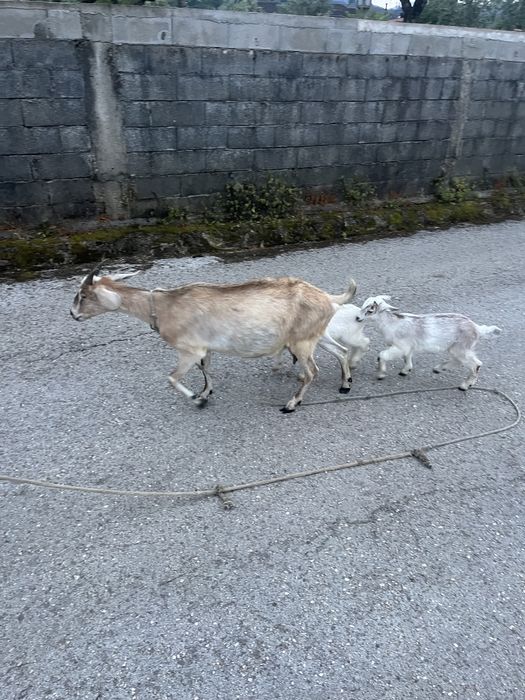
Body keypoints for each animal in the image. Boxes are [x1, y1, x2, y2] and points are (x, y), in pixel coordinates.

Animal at [70, 266, 357, 412]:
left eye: (83, 295)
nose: (72, 314)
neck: (161, 306)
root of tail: (328, 297)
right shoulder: (204, 347)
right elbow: (205, 368)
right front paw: (206, 391)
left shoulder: (188, 349)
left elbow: (172, 378)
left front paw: (198, 399)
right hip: (314, 335)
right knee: (341, 351)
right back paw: (345, 384)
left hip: (301, 342)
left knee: (311, 372)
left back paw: (292, 403)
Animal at [356, 295, 501, 390]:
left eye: (370, 310)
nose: (357, 318)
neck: (392, 323)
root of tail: (477, 328)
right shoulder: (408, 346)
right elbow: (407, 357)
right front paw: (405, 370)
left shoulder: (401, 346)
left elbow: (383, 355)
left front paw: (380, 374)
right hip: (456, 347)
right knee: (459, 361)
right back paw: (439, 368)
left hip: (462, 347)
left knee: (476, 364)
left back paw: (465, 385)